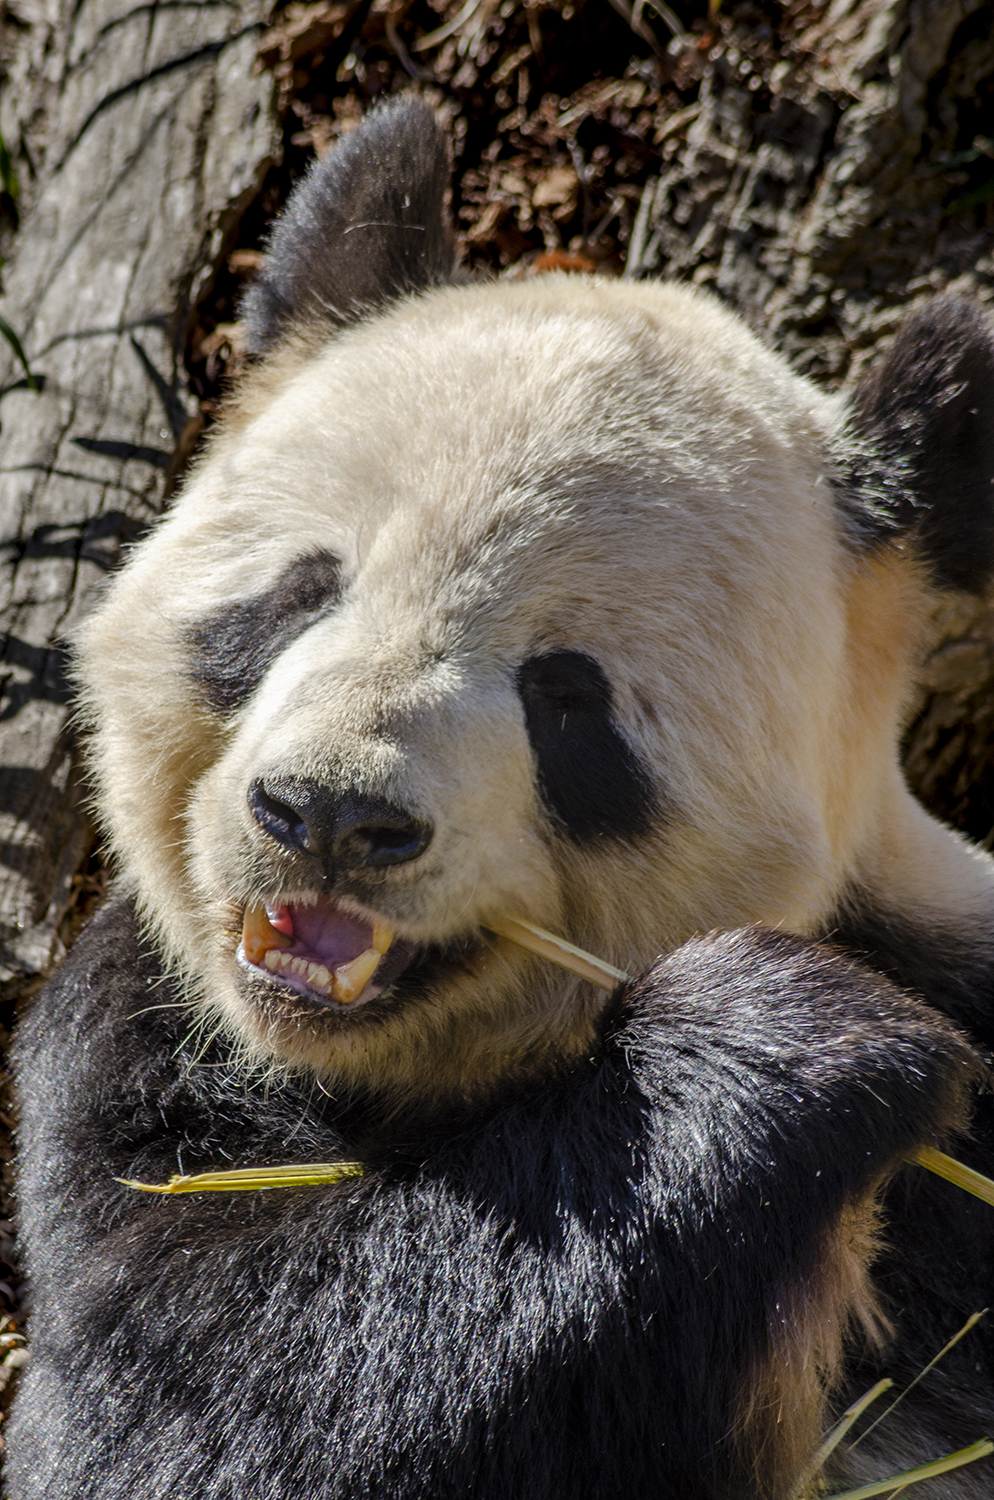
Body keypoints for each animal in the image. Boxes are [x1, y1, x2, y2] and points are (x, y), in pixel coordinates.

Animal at [8, 97, 994, 1500]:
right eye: (301, 592)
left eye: (565, 695)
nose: (328, 817)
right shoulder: (131, 1058)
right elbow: (191, 1402)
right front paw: (794, 1033)